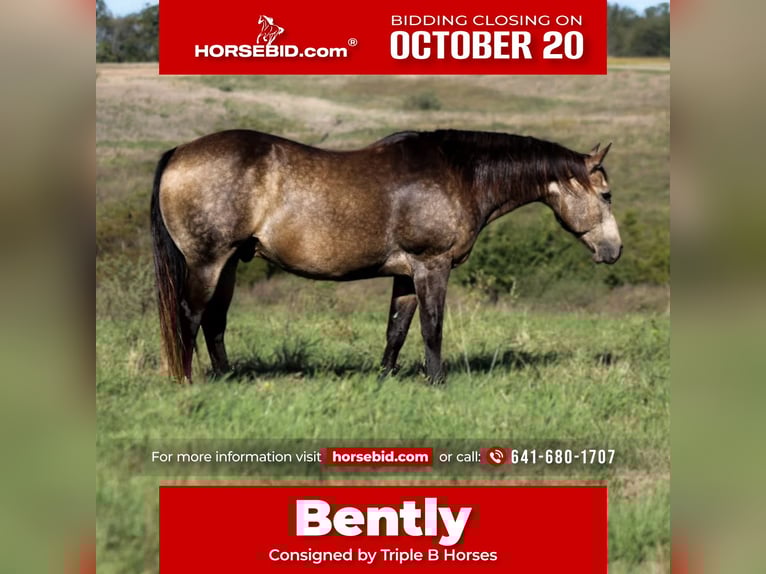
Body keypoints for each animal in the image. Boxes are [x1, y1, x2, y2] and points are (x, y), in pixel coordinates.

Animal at [151, 129, 621, 384]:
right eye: (606, 195)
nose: (614, 251)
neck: (458, 173)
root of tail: (180, 152)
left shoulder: (406, 273)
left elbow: (397, 328)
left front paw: (385, 378)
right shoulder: (432, 264)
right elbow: (432, 327)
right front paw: (437, 381)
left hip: (229, 261)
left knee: (215, 320)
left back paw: (227, 376)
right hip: (208, 262)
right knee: (191, 315)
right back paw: (186, 380)